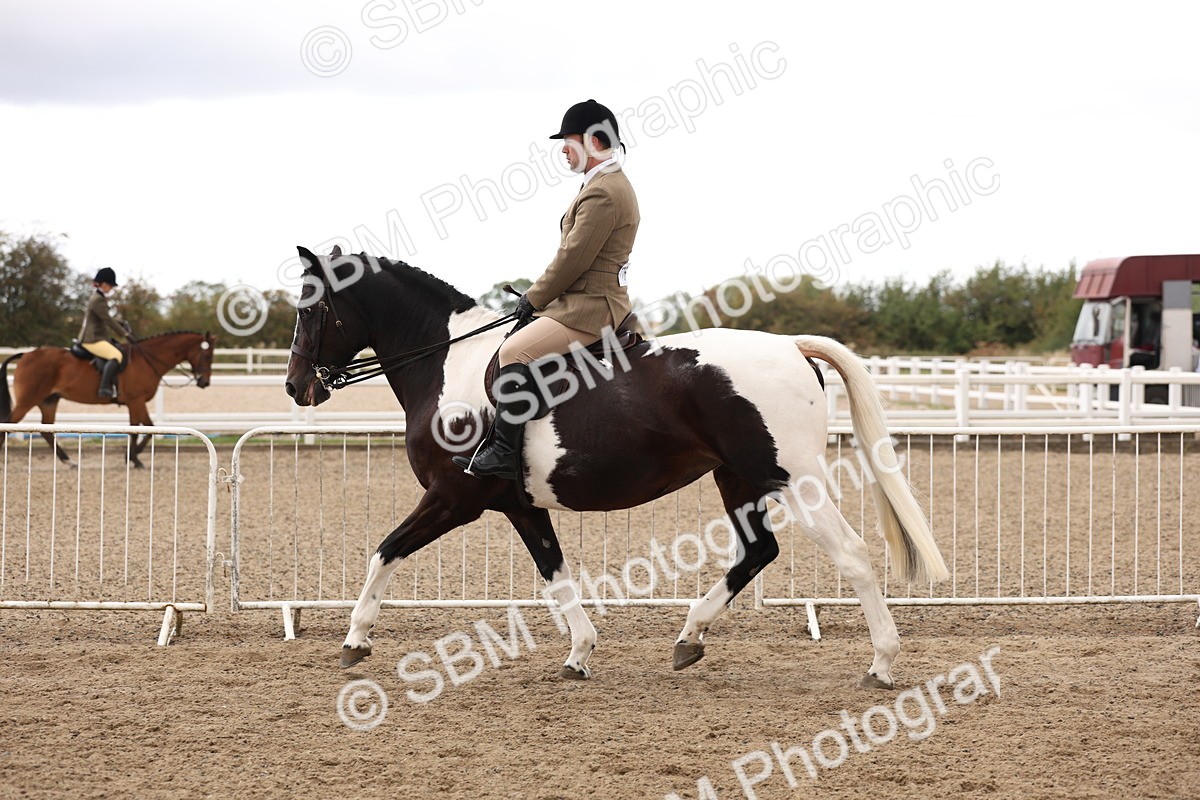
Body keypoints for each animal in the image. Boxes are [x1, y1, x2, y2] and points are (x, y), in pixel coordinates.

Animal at [1, 331, 216, 468]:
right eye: (206, 355)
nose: (204, 382)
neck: (147, 360)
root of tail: (26, 354)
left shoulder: (134, 403)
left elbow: (136, 429)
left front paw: (131, 458)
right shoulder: (137, 401)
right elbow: (146, 429)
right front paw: (135, 459)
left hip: (49, 400)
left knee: (46, 430)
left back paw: (69, 461)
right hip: (28, 400)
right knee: (9, 424)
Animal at [285, 247, 949, 688]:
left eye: (311, 308)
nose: (296, 387)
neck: (449, 367)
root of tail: (790, 346)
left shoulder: (454, 499)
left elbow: (385, 551)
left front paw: (354, 641)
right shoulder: (519, 506)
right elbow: (554, 573)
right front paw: (580, 652)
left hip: (793, 479)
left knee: (851, 555)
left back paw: (881, 664)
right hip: (738, 478)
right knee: (758, 552)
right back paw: (688, 637)